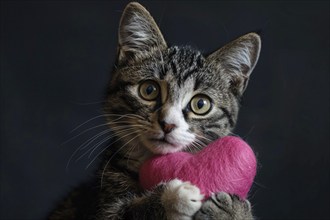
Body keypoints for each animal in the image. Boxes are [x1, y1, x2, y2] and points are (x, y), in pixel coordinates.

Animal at [49, 2, 260, 220]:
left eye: (201, 104)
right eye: (149, 90)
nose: (168, 124)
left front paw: (233, 211)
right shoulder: (99, 207)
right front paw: (173, 198)